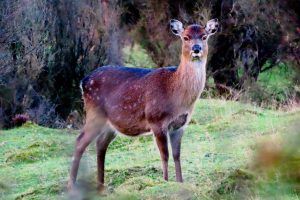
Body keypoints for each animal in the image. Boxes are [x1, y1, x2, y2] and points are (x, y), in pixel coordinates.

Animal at [67, 18, 218, 191]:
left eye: (204, 36)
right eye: (185, 37)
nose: (196, 48)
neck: (176, 93)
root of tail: (83, 82)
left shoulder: (180, 124)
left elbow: (177, 155)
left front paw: (180, 183)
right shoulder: (156, 120)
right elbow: (164, 155)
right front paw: (165, 182)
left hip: (110, 123)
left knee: (100, 144)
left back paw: (101, 186)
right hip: (94, 113)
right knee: (80, 141)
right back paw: (72, 186)